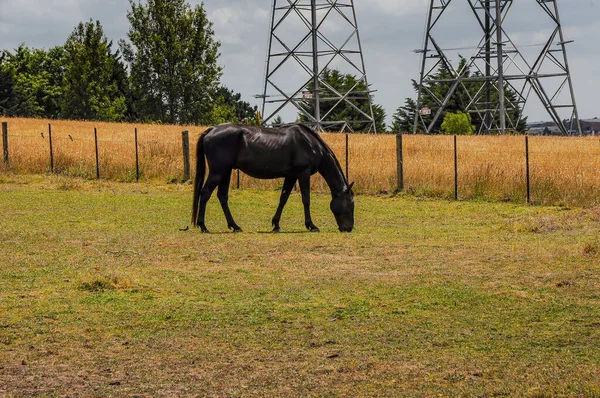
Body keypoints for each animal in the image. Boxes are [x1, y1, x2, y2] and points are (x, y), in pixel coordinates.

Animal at [192, 123, 354, 232]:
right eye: (351, 204)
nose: (349, 228)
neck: (311, 144)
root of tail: (211, 131)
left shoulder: (291, 176)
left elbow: (283, 199)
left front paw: (276, 224)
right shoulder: (303, 173)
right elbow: (306, 199)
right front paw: (311, 225)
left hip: (226, 172)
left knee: (222, 196)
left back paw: (235, 226)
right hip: (218, 172)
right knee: (205, 193)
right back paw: (203, 226)